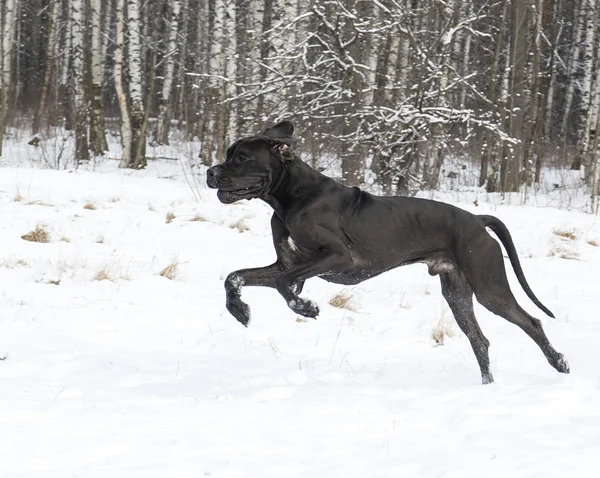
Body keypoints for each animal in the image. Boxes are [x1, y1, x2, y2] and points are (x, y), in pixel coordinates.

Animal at [209, 120, 568, 384]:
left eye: (242, 158)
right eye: (229, 154)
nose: (211, 172)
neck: (291, 197)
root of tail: (478, 220)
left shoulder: (336, 258)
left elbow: (286, 286)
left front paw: (305, 307)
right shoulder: (286, 264)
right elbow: (234, 277)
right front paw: (240, 310)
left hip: (489, 288)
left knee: (531, 322)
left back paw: (559, 362)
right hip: (458, 294)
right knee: (480, 340)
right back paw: (487, 387)